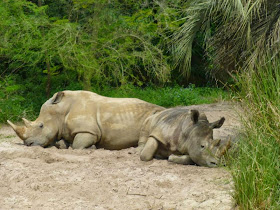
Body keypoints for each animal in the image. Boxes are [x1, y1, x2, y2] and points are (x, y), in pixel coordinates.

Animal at [7, 90, 164, 149]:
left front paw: (93, 147)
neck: (61, 111)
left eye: (41, 126)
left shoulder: (88, 131)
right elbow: (63, 143)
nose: (28, 144)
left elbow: (77, 145)